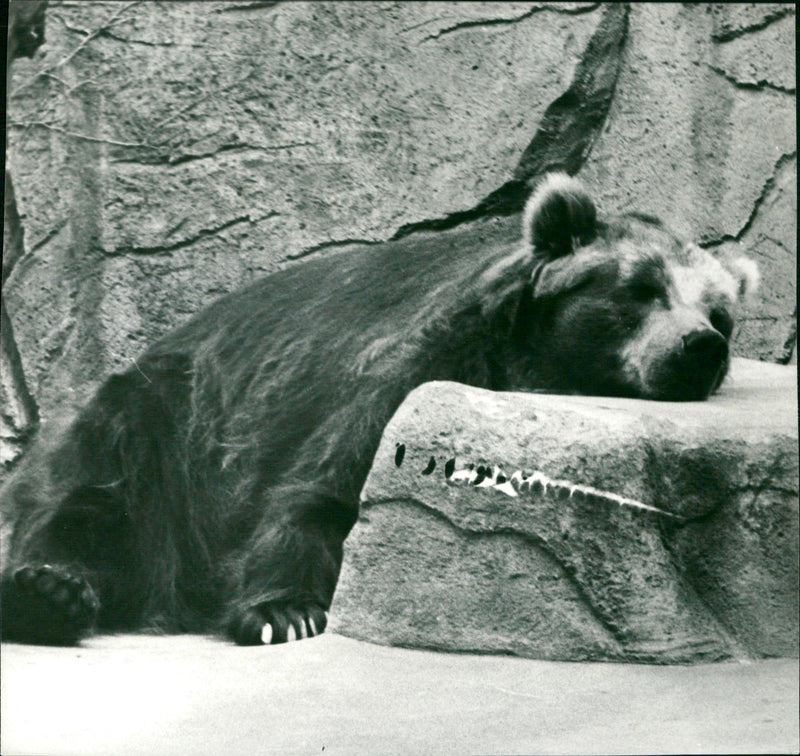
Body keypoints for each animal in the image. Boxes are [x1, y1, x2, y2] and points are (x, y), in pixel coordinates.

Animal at [0, 173, 758, 646]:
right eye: (643, 288)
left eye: (720, 311)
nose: (700, 346)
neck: (529, 368)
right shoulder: (422, 365)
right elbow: (324, 484)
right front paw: (284, 612)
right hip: (162, 428)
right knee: (96, 501)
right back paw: (47, 591)